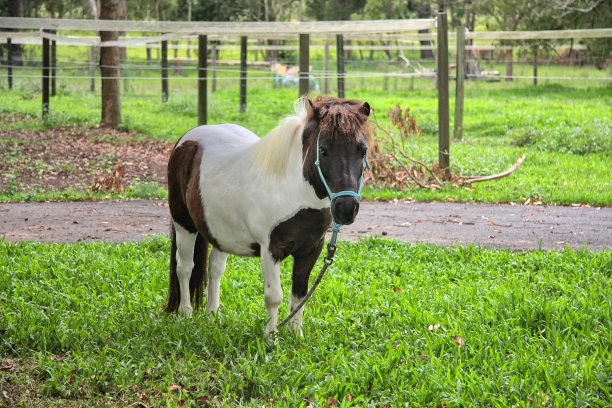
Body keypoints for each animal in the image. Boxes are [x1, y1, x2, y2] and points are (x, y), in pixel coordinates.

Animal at [165, 96, 370, 338]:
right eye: (323, 150)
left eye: (362, 151)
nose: (346, 209)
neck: (292, 190)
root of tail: (187, 139)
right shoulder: (272, 250)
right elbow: (274, 297)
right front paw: (271, 337)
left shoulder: (311, 250)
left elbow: (300, 294)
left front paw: (296, 335)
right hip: (183, 224)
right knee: (185, 267)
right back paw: (186, 313)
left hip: (220, 231)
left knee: (215, 269)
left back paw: (212, 316)